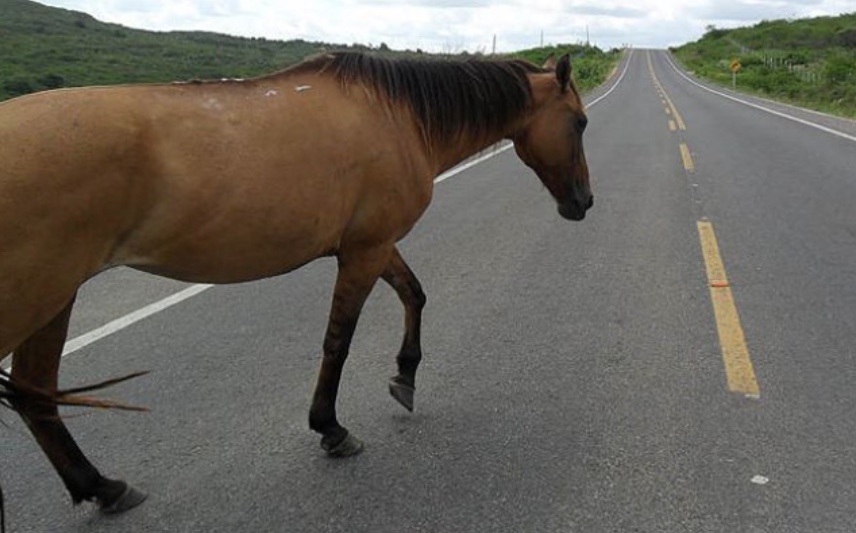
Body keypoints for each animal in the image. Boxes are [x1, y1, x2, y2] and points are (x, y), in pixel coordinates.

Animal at [0, 50, 592, 515]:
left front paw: (404, 377)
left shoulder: (371, 245)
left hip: (54, 298)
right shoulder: (365, 251)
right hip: (38, 297)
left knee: (34, 395)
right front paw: (331, 428)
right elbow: (338, 342)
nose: (583, 202)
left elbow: (415, 294)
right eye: (580, 123)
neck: (399, 116)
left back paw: (103, 487)